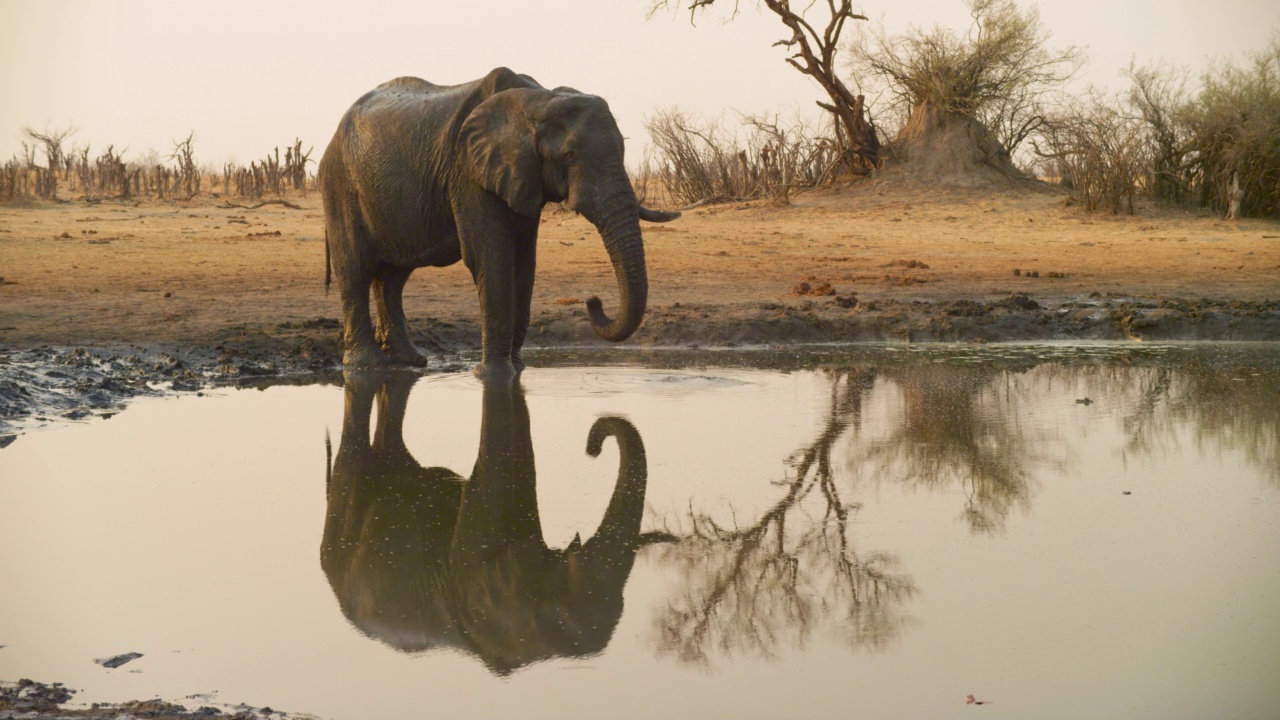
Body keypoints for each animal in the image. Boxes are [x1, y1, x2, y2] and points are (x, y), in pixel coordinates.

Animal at [320, 68, 680, 381]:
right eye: (569, 156)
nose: (593, 301)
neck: (539, 99)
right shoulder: (468, 171)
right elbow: (492, 258)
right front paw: (493, 377)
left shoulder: (522, 177)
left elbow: (523, 265)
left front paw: (518, 371)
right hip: (340, 185)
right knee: (354, 269)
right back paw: (366, 366)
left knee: (393, 277)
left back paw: (409, 360)